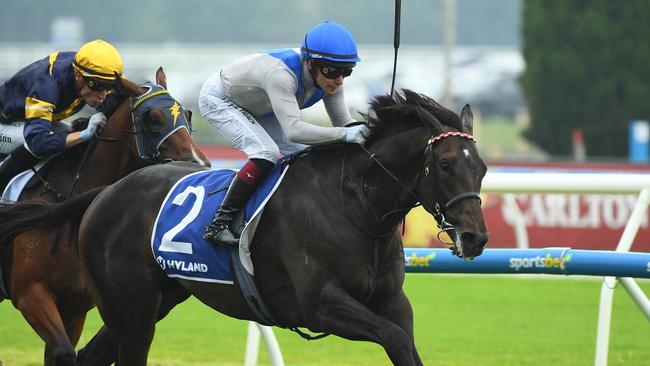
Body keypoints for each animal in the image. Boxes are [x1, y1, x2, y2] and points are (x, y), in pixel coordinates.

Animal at [0, 68, 209, 366]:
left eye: (187, 115)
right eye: (153, 119)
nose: (200, 164)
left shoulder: (74, 307)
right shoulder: (29, 292)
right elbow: (64, 352)